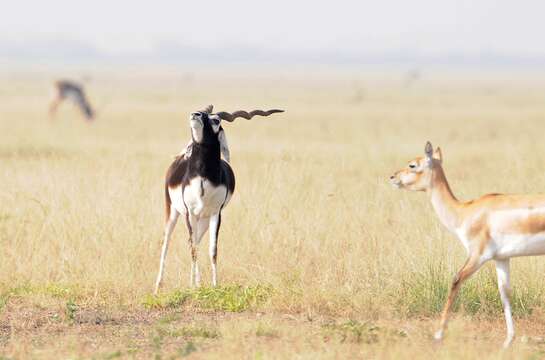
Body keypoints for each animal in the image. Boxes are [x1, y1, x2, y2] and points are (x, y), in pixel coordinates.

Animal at [152, 105, 282, 296]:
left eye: (216, 120)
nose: (195, 114)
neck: (203, 178)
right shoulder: (190, 213)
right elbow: (193, 249)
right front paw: (193, 286)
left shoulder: (216, 214)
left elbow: (212, 250)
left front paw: (213, 285)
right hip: (174, 211)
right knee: (167, 242)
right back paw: (158, 287)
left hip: (203, 220)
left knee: (195, 242)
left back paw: (195, 281)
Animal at [388, 142, 545, 348]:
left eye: (412, 165)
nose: (392, 177)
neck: (464, 211)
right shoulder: (501, 258)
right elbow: (505, 293)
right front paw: (508, 341)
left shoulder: (477, 256)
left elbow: (455, 280)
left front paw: (438, 334)